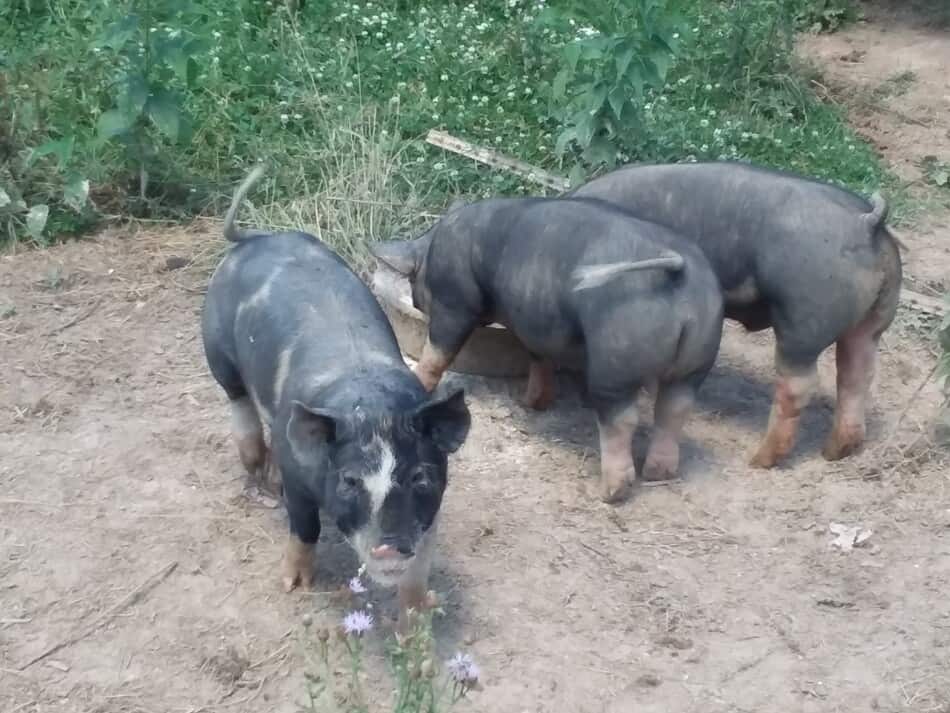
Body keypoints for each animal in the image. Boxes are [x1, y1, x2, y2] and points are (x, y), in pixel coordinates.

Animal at [203, 165, 470, 624]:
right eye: (349, 480)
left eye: (420, 476)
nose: (389, 546)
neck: (373, 406)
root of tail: (256, 238)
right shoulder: (300, 481)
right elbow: (304, 528)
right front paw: (293, 585)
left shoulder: (432, 509)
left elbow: (420, 565)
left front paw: (424, 610)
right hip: (216, 350)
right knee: (239, 402)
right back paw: (260, 477)